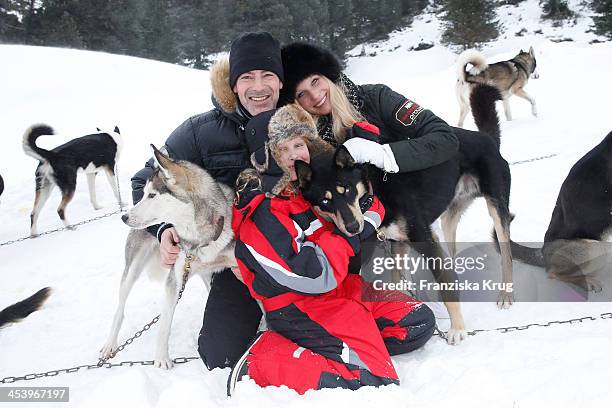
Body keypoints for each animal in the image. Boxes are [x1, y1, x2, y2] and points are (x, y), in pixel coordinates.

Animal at [99, 145, 235, 368]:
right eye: (144, 194)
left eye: (152, 195)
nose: (124, 217)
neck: (198, 237)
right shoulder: (174, 279)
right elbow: (164, 325)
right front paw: (162, 359)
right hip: (132, 271)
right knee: (120, 309)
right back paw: (110, 344)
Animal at [296, 85, 512, 344]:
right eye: (325, 201)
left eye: (346, 190)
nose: (352, 227)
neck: (375, 190)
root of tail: (486, 138)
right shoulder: (397, 241)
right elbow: (398, 280)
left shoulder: (423, 238)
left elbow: (444, 284)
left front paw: (457, 328)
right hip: (448, 219)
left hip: (496, 208)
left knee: (507, 254)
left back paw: (506, 294)